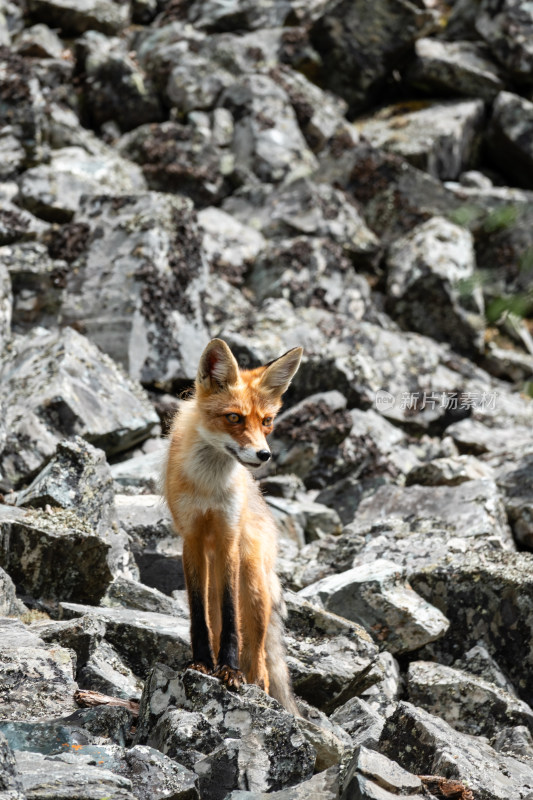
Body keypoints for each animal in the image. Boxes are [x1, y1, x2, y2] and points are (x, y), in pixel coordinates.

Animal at [164, 338, 302, 712]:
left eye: (267, 421)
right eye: (234, 417)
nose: (264, 455)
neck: (209, 487)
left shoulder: (228, 535)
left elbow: (229, 617)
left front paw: (228, 670)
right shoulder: (192, 537)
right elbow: (199, 615)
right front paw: (201, 663)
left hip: (253, 584)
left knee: (259, 660)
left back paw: (254, 683)